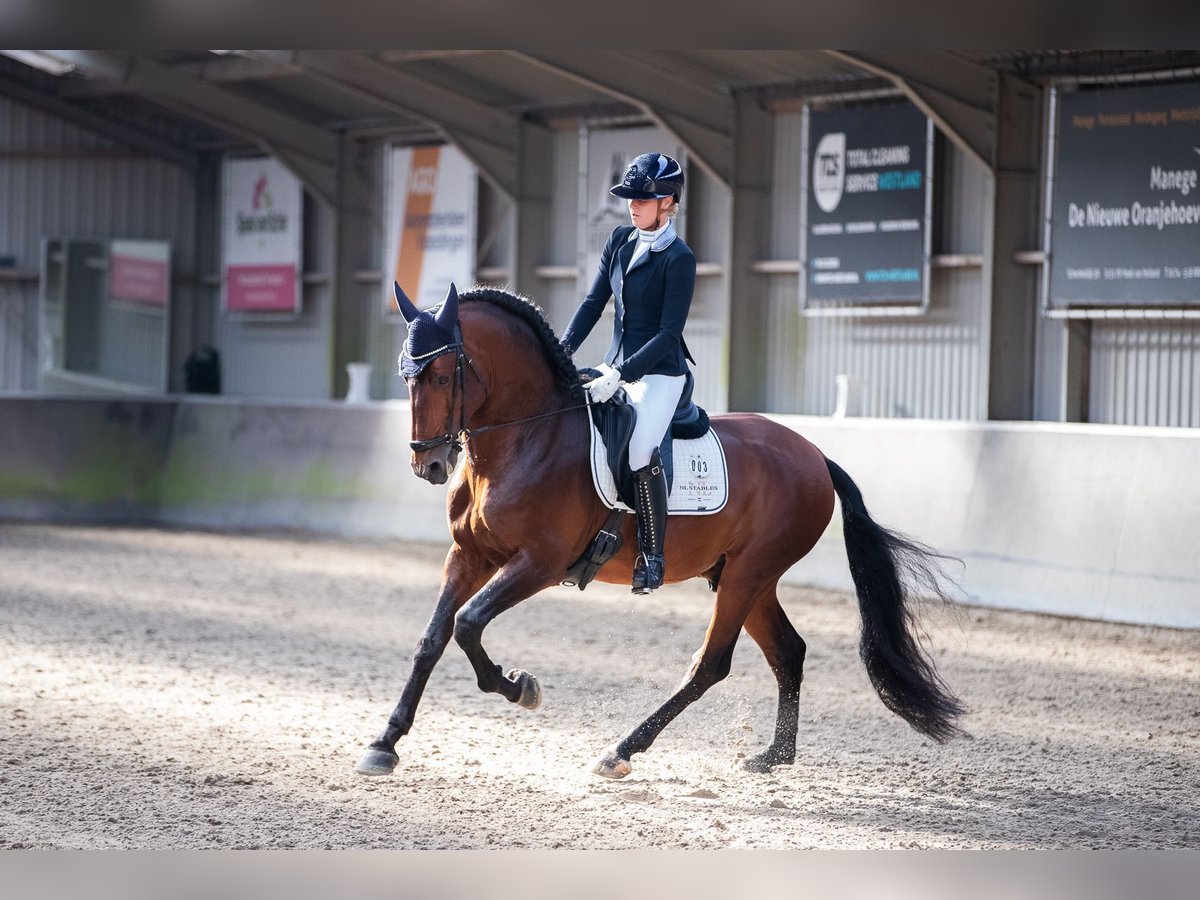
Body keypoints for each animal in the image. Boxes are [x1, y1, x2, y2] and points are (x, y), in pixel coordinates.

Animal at [355, 285, 964, 777]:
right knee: (788, 651)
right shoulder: (468, 555)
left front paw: (522, 687)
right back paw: (773, 756)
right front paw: (385, 744)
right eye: (405, 376)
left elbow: (468, 624)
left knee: (711, 665)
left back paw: (620, 751)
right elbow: (433, 638)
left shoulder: (538, 563)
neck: (525, 438)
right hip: (747, 576)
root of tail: (815, 455)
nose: (429, 465)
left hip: (747, 575)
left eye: (440, 375)